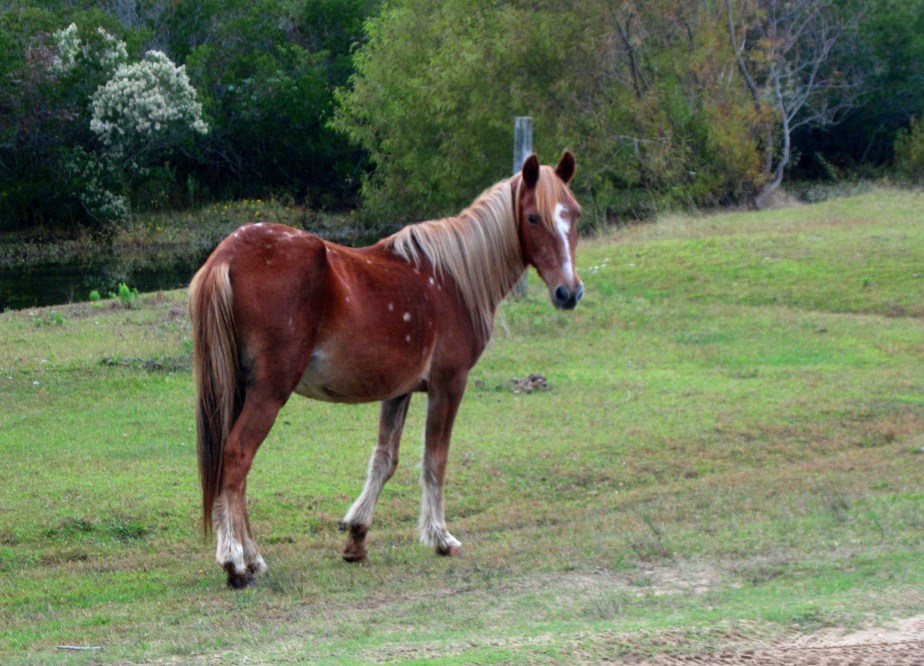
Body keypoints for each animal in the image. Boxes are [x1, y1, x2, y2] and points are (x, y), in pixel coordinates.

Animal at [188, 151, 583, 588]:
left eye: (575, 214)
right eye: (533, 218)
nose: (569, 292)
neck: (452, 279)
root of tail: (228, 254)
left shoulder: (399, 391)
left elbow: (384, 460)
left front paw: (357, 537)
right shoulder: (449, 384)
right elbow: (435, 459)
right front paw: (440, 538)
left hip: (241, 388)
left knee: (235, 467)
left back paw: (253, 558)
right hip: (269, 392)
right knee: (237, 456)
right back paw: (235, 562)